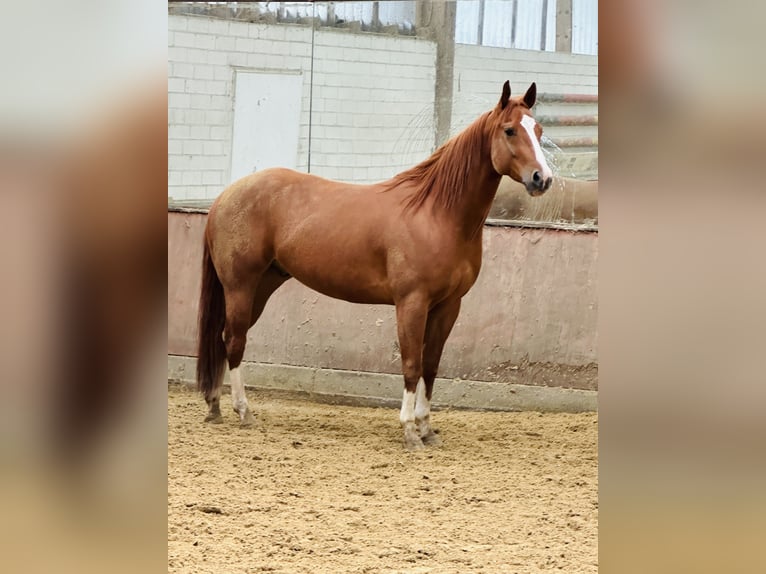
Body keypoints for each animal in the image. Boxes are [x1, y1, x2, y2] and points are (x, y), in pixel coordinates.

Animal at [196, 81, 553, 451]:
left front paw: (427, 429)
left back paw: (215, 406)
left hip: (262, 285)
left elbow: (431, 366)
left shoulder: (448, 306)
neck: (436, 214)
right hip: (240, 285)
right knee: (234, 339)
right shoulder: (412, 303)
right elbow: (411, 364)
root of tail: (225, 196)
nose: (542, 178)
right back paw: (243, 411)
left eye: (539, 130)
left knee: (225, 338)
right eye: (510, 130)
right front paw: (409, 431)